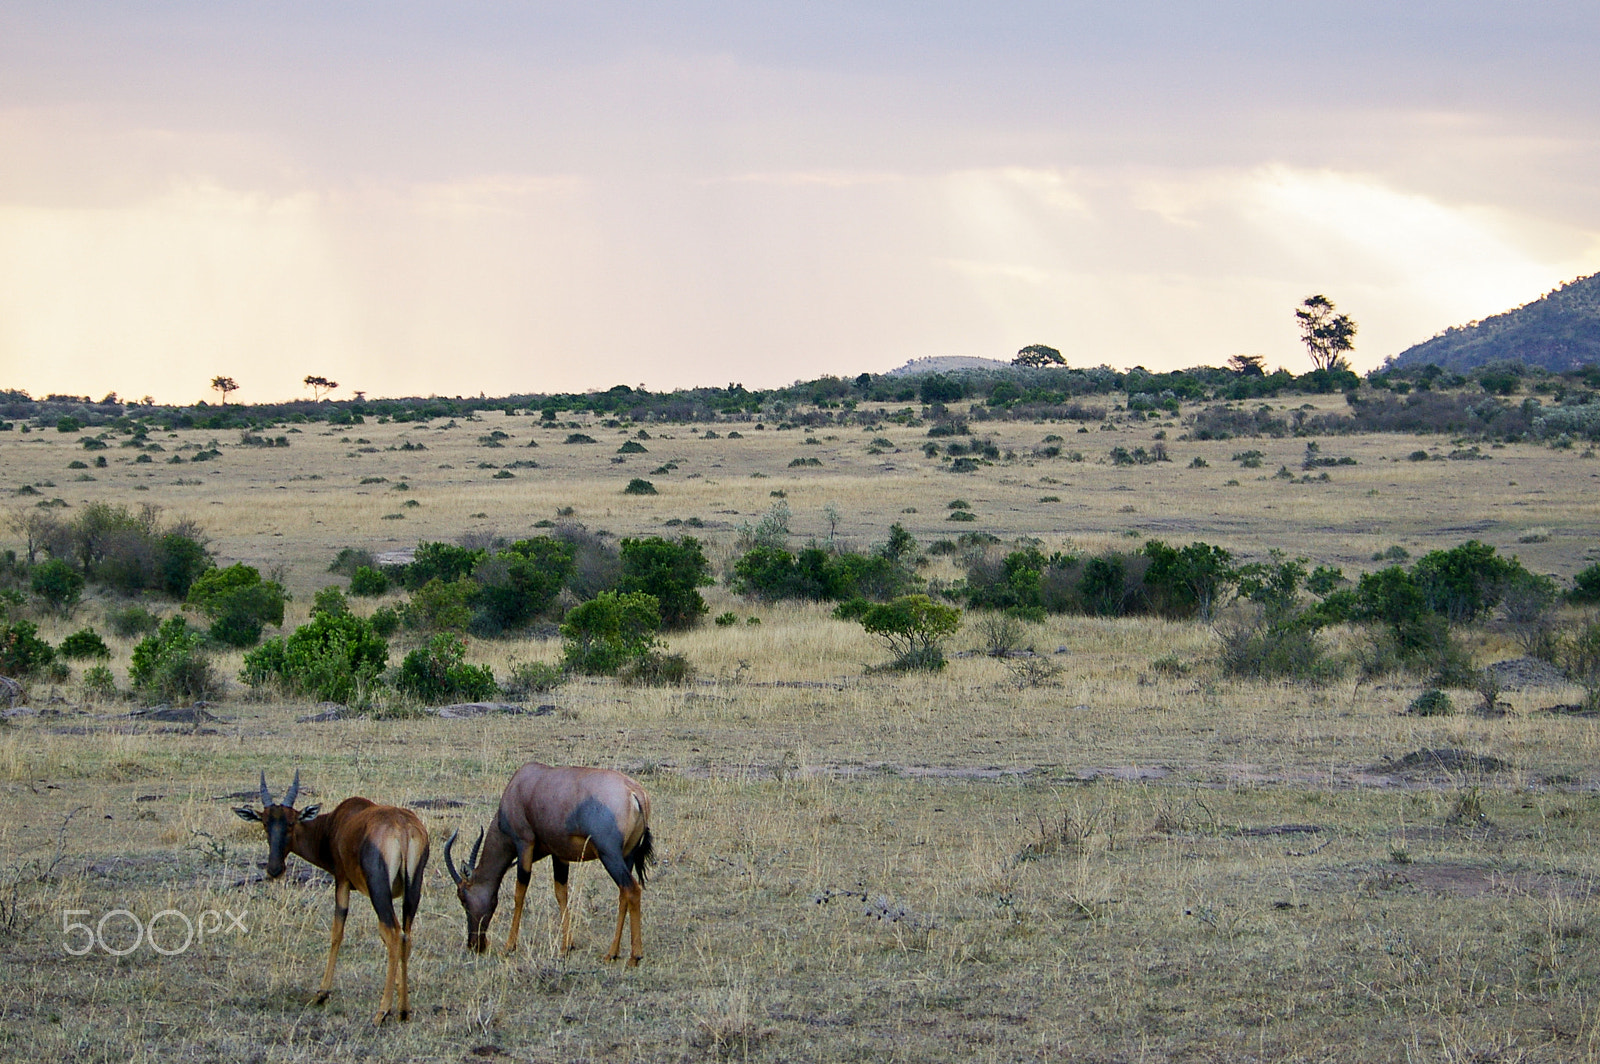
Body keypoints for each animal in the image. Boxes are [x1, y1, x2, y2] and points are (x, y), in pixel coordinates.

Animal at [233, 768, 428, 1024]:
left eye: (291, 822)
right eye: (265, 823)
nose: (274, 869)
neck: (338, 821)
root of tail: (402, 827)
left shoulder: (342, 882)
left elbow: (337, 932)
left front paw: (322, 993)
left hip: (378, 890)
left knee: (394, 933)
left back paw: (381, 1012)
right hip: (413, 890)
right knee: (405, 935)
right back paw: (404, 1010)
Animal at [444, 758, 649, 966]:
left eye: (462, 897)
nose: (475, 945)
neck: (520, 784)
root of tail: (634, 792)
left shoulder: (524, 843)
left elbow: (520, 892)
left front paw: (509, 947)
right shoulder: (558, 854)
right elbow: (561, 894)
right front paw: (566, 947)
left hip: (609, 855)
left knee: (632, 890)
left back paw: (635, 956)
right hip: (627, 855)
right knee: (623, 894)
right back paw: (612, 953)